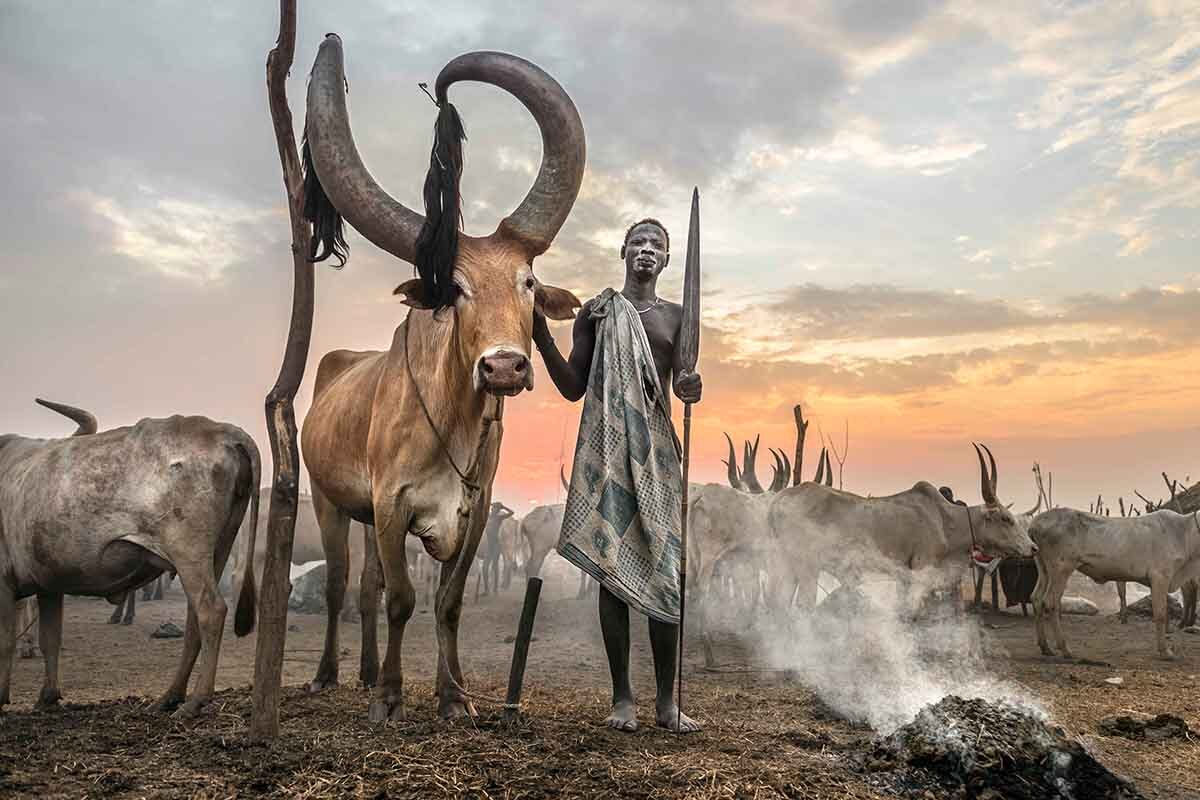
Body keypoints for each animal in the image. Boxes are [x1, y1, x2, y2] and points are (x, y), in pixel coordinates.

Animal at [0, 399, 259, 716]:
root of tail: (224, 433)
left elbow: (5, 642)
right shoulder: (49, 585)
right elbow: (50, 638)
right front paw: (47, 697)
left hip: (189, 553)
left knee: (211, 611)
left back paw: (196, 700)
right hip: (218, 548)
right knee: (193, 620)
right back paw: (170, 696)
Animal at [298, 38, 583, 721]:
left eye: (528, 282)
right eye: (455, 289)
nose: (504, 366)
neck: (451, 423)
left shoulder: (473, 513)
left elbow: (446, 602)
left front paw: (452, 695)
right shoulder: (391, 502)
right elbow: (404, 601)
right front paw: (391, 699)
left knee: (367, 589)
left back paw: (367, 670)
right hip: (330, 502)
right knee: (343, 587)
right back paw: (330, 675)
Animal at [768, 444, 1037, 614]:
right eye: (1006, 518)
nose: (1033, 548)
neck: (944, 519)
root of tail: (779, 500)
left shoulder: (904, 575)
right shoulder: (920, 567)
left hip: (786, 565)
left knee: (779, 604)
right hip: (807, 566)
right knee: (802, 605)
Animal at [1031, 508, 1200, 659]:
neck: (1184, 533)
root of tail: (1035, 523)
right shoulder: (1160, 578)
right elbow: (1160, 614)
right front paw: (1165, 652)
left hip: (1044, 568)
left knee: (1037, 599)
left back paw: (1046, 648)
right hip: (1061, 569)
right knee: (1050, 602)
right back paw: (1065, 649)